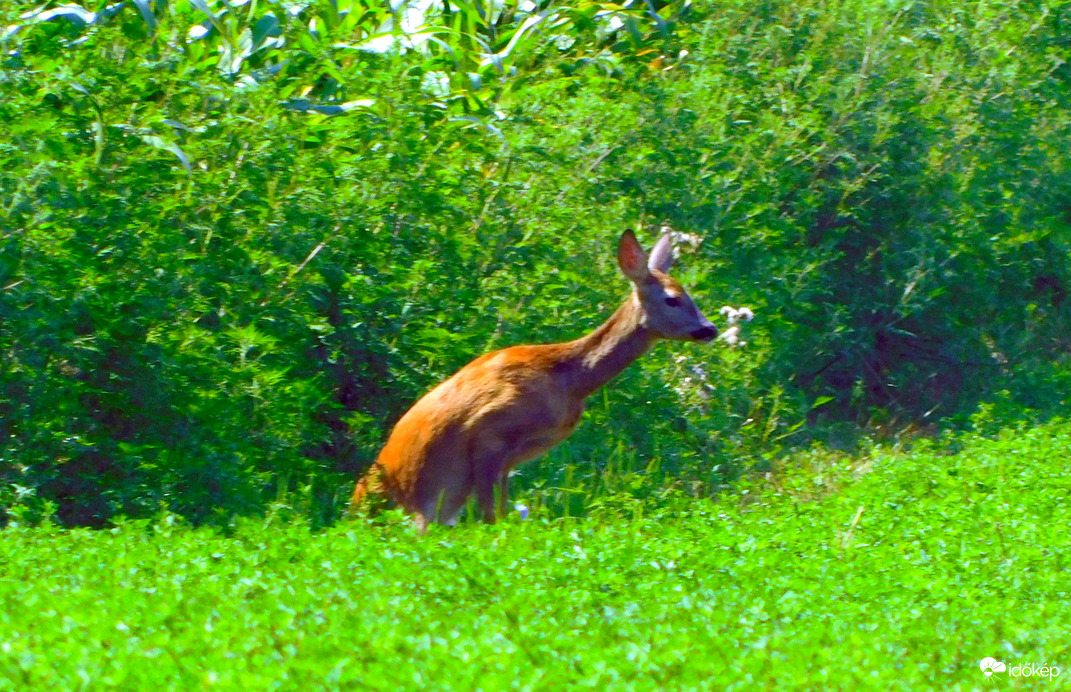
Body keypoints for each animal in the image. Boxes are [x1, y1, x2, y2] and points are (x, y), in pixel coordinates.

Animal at [353, 229, 719, 531]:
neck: (568, 381)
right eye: (672, 299)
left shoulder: (508, 459)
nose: (710, 329)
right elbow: (492, 517)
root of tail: (354, 507)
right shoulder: (488, 431)